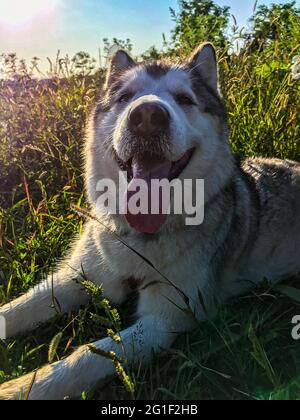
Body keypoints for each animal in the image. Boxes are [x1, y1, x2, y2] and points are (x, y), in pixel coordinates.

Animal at [0, 43, 300, 400]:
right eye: (126, 96)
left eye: (184, 99)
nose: (146, 117)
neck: (137, 239)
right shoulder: (77, 277)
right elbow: (19, 307)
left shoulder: (168, 316)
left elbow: (90, 355)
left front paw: (21, 387)